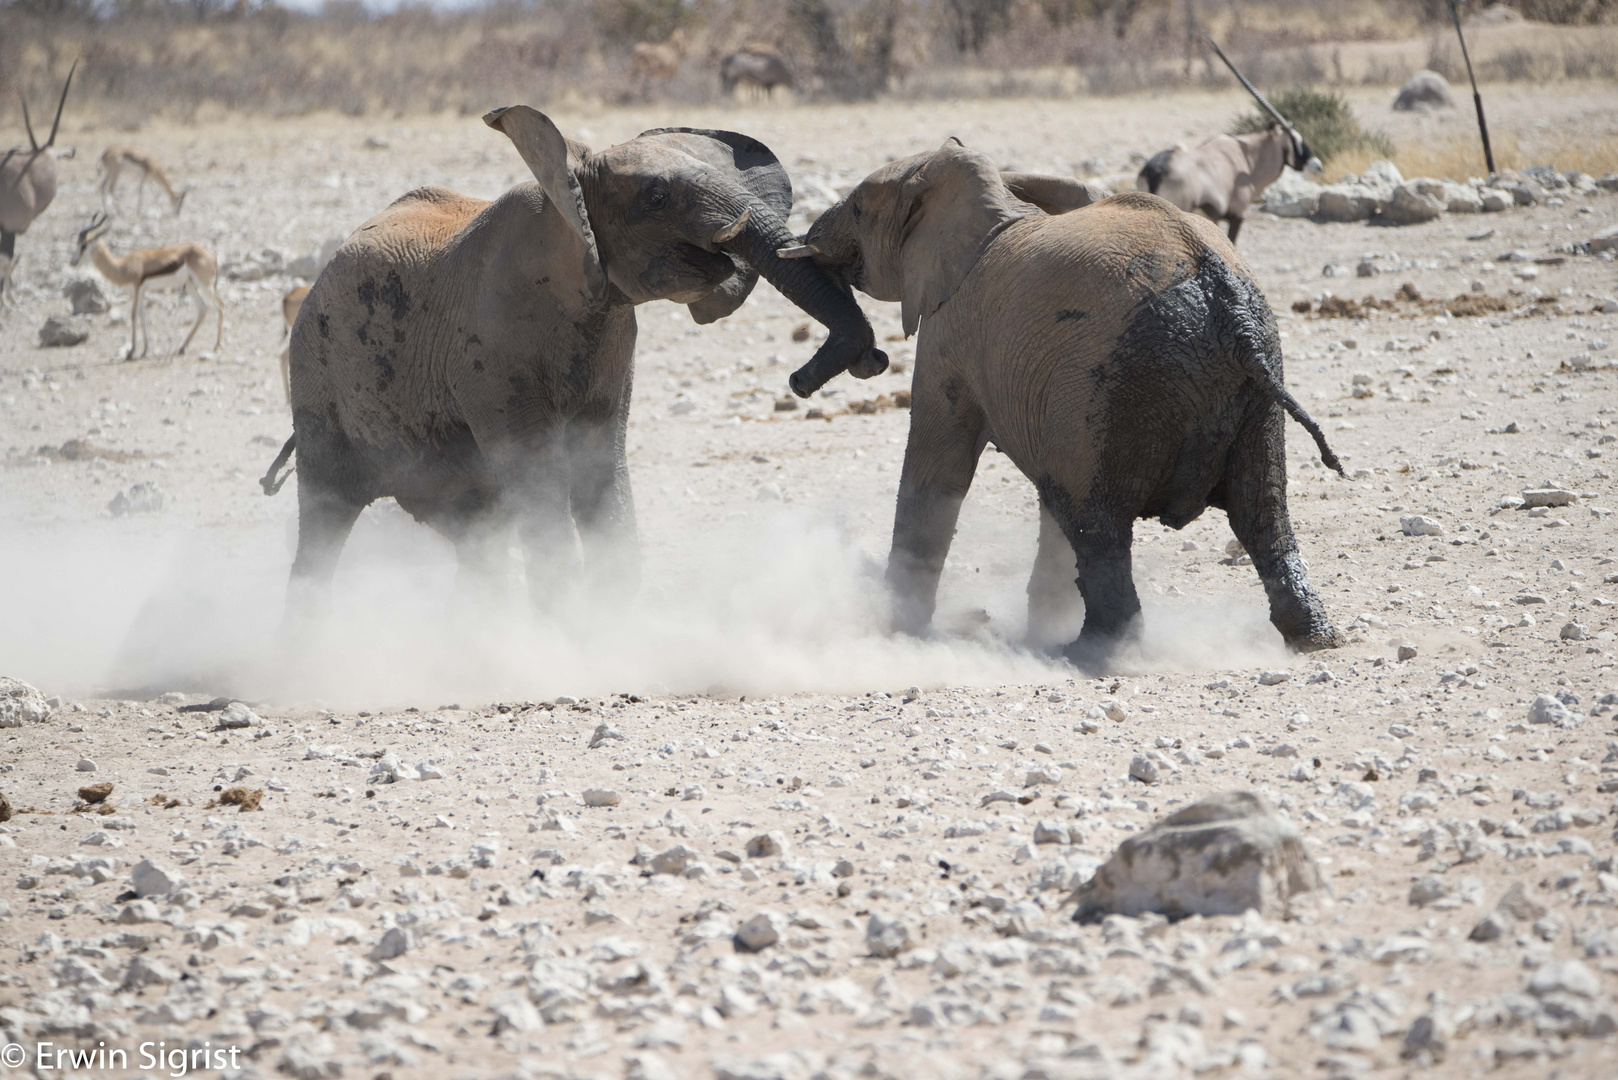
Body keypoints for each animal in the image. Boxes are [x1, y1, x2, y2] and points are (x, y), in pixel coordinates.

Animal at [72, 213, 223, 361]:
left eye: (83, 245)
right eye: (77, 243)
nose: (73, 262)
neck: (123, 266)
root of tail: (212, 254)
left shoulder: (136, 288)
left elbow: (133, 315)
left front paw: (131, 352)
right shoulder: (141, 291)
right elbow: (142, 316)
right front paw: (144, 351)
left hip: (204, 284)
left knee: (220, 305)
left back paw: (216, 346)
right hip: (191, 285)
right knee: (203, 308)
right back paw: (182, 347)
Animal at [266, 110, 893, 621]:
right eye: (656, 196)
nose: (870, 360)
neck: (567, 197)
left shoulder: (614, 334)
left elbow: (602, 459)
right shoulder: (490, 348)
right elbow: (537, 474)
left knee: (475, 528)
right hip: (316, 371)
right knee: (325, 513)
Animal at [789, 140, 1346, 670]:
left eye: (858, 207)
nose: (802, 381)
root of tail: (1226, 304)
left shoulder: (952, 330)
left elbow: (937, 473)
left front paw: (895, 633)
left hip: (1115, 385)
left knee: (1094, 523)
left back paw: (1094, 653)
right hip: (1243, 388)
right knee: (1261, 515)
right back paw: (1313, 639)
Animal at [1139, 36, 1313, 244]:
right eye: (1296, 140)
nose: (1316, 164)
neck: (1248, 160)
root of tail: (1154, 171)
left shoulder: (1213, 219)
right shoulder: (1238, 214)